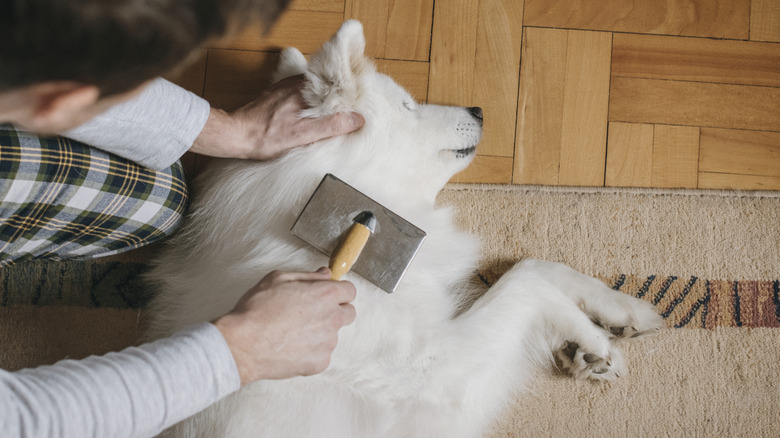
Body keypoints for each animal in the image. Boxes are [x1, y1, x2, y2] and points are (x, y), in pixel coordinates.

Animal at [145, 20, 660, 438]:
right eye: (408, 105)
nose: (479, 110)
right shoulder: (431, 376)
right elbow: (524, 283)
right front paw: (591, 340)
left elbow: (538, 266)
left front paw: (619, 314)